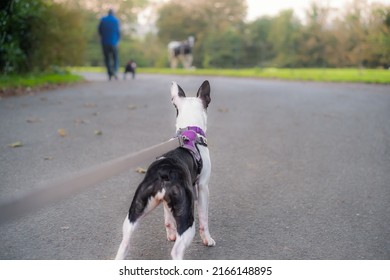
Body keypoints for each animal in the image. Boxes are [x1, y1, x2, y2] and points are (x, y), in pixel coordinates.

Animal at [114, 80, 218, 260]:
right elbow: (204, 219)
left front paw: (170, 234)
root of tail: (164, 172)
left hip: (133, 214)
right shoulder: (203, 187)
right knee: (177, 251)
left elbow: (167, 217)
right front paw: (208, 239)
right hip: (187, 218)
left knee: (124, 244)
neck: (189, 130)